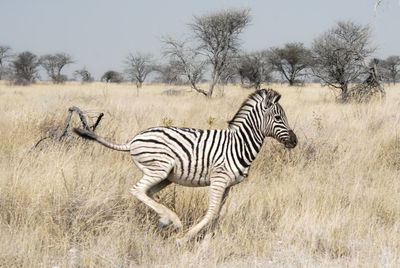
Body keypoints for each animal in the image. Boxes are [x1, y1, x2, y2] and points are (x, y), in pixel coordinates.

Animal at [74, 88, 296, 243]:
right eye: (278, 117)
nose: (295, 141)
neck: (239, 144)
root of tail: (133, 140)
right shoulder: (219, 179)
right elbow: (212, 212)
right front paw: (186, 238)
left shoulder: (228, 185)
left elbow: (218, 214)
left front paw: (208, 241)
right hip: (160, 168)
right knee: (137, 190)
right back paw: (175, 222)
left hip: (165, 176)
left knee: (148, 192)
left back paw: (166, 219)